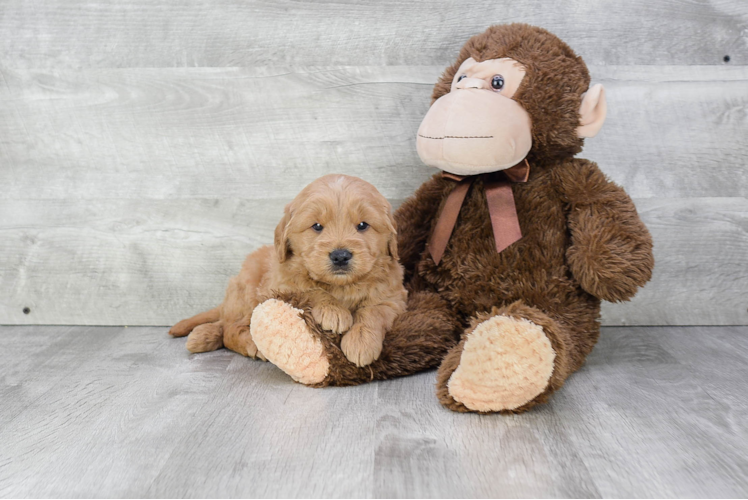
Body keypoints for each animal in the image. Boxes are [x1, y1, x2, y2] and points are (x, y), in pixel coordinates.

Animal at [169, 175, 406, 368]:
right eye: (317, 226)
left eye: (363, 225)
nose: (340, 256)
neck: (341, 286)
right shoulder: (280, 287)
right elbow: (310, 291)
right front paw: (333, 310)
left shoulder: (393, 296)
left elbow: (373, 311)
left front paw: (361, 341)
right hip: (247, 293)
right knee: (231, 328)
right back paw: (248, 344)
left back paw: (202, 335)